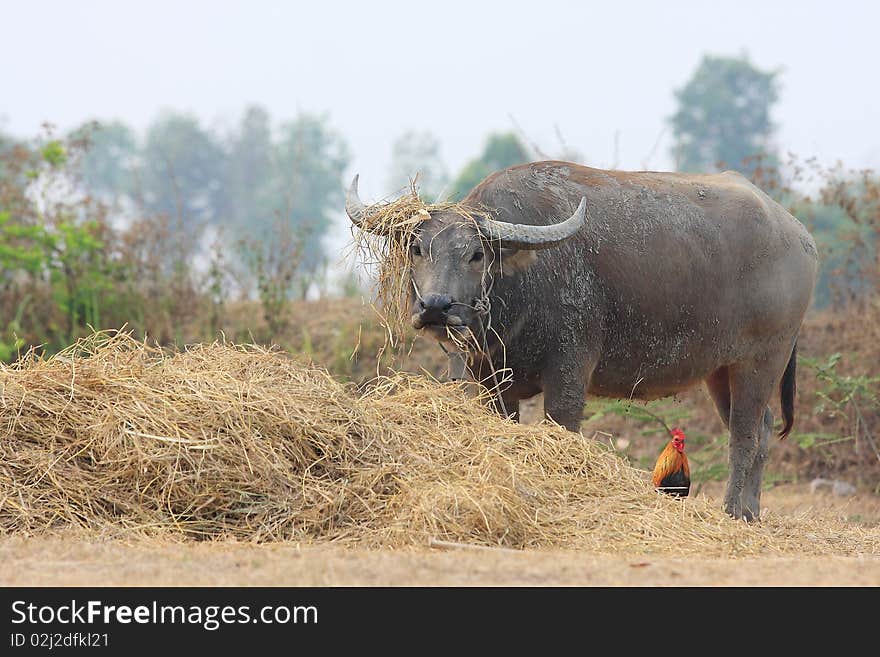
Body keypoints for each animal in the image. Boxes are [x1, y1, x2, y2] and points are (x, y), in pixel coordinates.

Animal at [344, 159, 820, 516]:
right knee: (762, 427)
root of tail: (798, 236)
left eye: (476, 254)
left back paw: (731, 511)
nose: (436, 306)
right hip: (721, 370)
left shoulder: (569, 370)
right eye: (417, 249)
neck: (523, 290)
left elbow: (562, 425)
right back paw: (752, 511)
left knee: (743, 433)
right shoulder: (491, 380)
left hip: (763, 358)